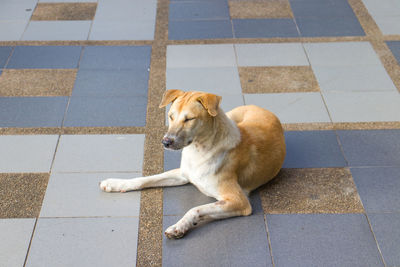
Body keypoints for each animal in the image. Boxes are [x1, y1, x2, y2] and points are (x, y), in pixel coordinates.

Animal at [100, 90, 288, 239]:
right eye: (170, 116)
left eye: (189, 119)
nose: (165, 142)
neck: (199, 150)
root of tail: (263, 108)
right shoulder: (182, 174)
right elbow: (146, 179)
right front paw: (116, 183)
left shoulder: (239, 201)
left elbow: (196, 209)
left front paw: (179, 226)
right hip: (230, 115)